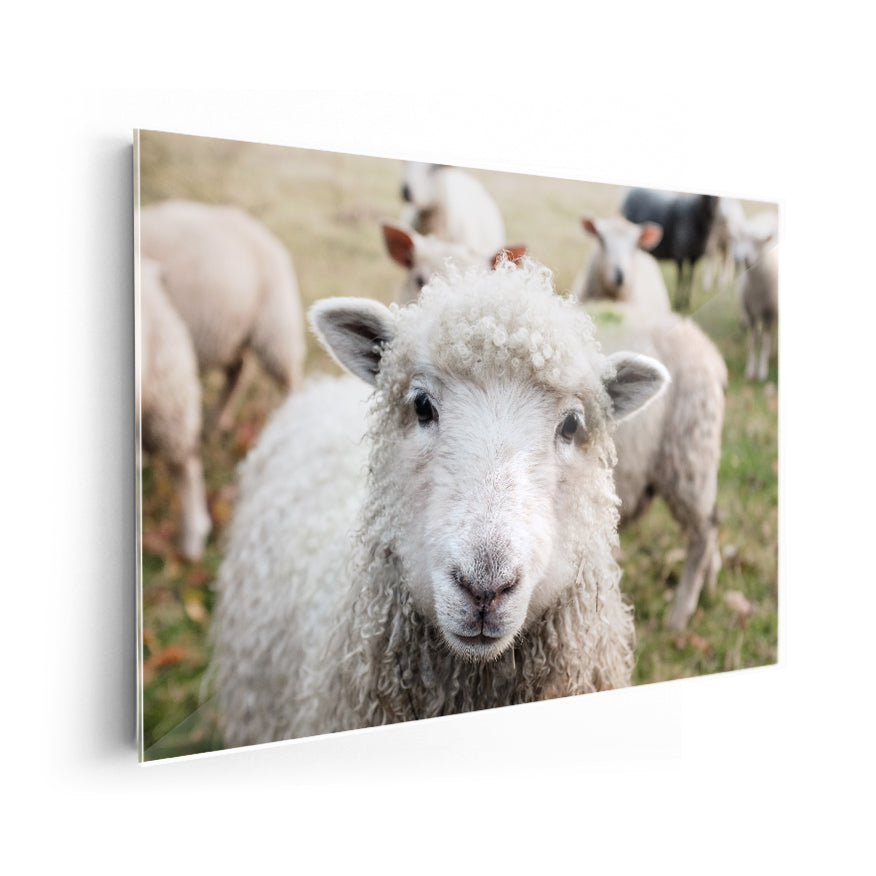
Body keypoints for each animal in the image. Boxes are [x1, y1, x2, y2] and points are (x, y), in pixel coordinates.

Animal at [733, 215, 779, 381]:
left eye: (759, 242)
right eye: (741, 239)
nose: (743, 259)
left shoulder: (770, 314)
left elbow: (765, 341)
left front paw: (762, 371)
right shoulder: (751, 314)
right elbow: (753, 342)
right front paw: (751, 370)